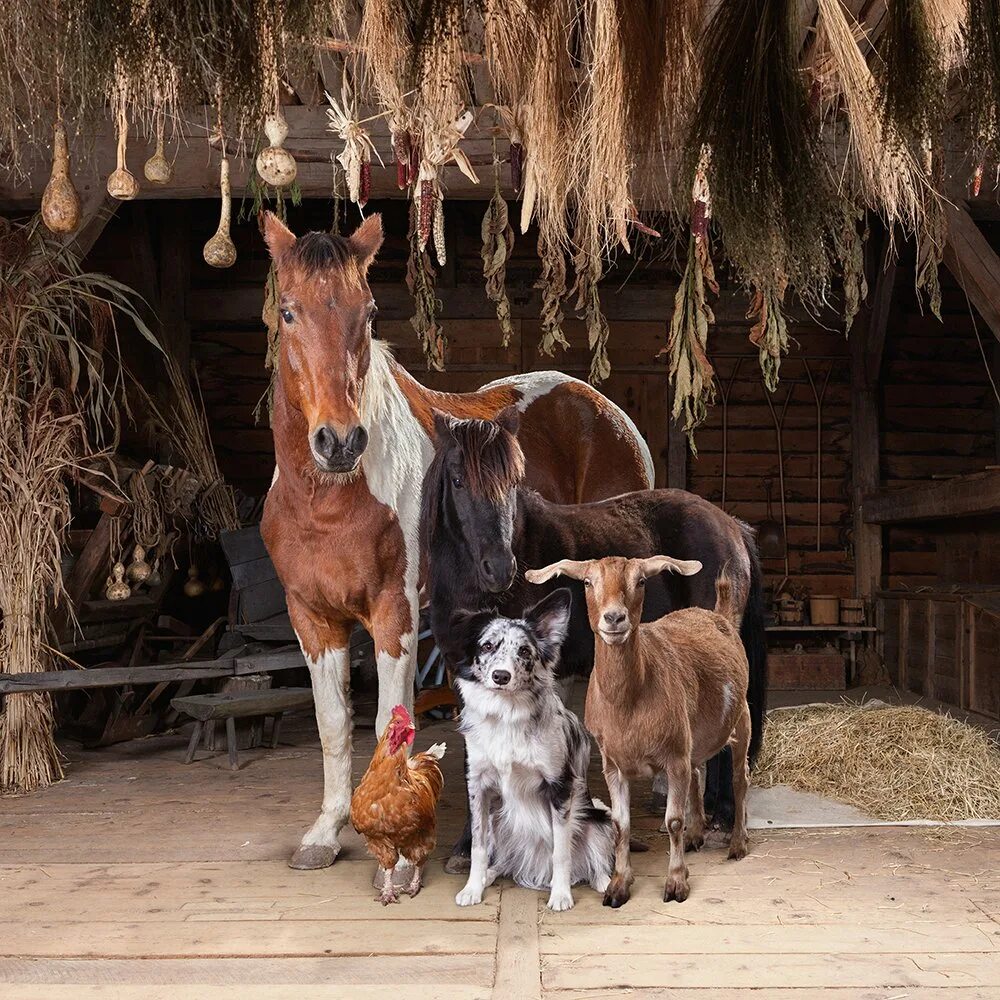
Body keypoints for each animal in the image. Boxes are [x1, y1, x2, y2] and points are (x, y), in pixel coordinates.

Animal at [256, 215, 656, 872]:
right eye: (288, 312)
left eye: (368, 313)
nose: (339, 441)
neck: (331, 498)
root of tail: (608, 413)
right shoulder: (311, 618)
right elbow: (333, 724)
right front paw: (325, 833)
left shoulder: (394, 615)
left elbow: (387, 721)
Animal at [452, 588, 608, 912]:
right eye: (487, 646)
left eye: (524, 651)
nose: (501, 676)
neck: (506, 715)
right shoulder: (478, 786)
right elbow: (477, 846)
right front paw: (473, 888)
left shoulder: (559, 787)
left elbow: (561, 850)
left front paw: (560, 895)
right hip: (498, 820)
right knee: (501, 858)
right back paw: (490, 874)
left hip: (597, 814)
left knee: (594, 858)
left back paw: (604, 882)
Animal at [528, 556, 748, 908]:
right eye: (587, 582)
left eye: (641, 581)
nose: (614, 617)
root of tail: (719, 615)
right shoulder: (613, 763)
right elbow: (621, 825)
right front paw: (618, 886)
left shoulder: (674, 758)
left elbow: (673, 820)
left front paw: (676, 883)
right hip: (694, 736)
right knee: (698, 772)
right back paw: (696, 835)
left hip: (741, 716)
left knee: (740, 779)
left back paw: (738, 844)